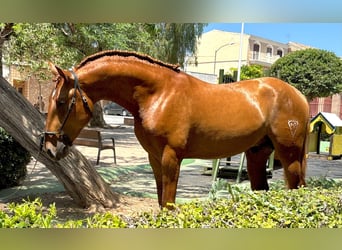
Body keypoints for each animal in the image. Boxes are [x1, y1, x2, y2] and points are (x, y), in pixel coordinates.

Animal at [43, 50, 310, 207]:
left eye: (61, 101)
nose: (48, 147)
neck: (158, 94)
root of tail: (299, 96)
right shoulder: (154, 158)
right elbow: (162, 201)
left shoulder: (171, 157)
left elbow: (169, 205)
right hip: (257, 153)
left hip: (288, 155)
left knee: (295, 188)